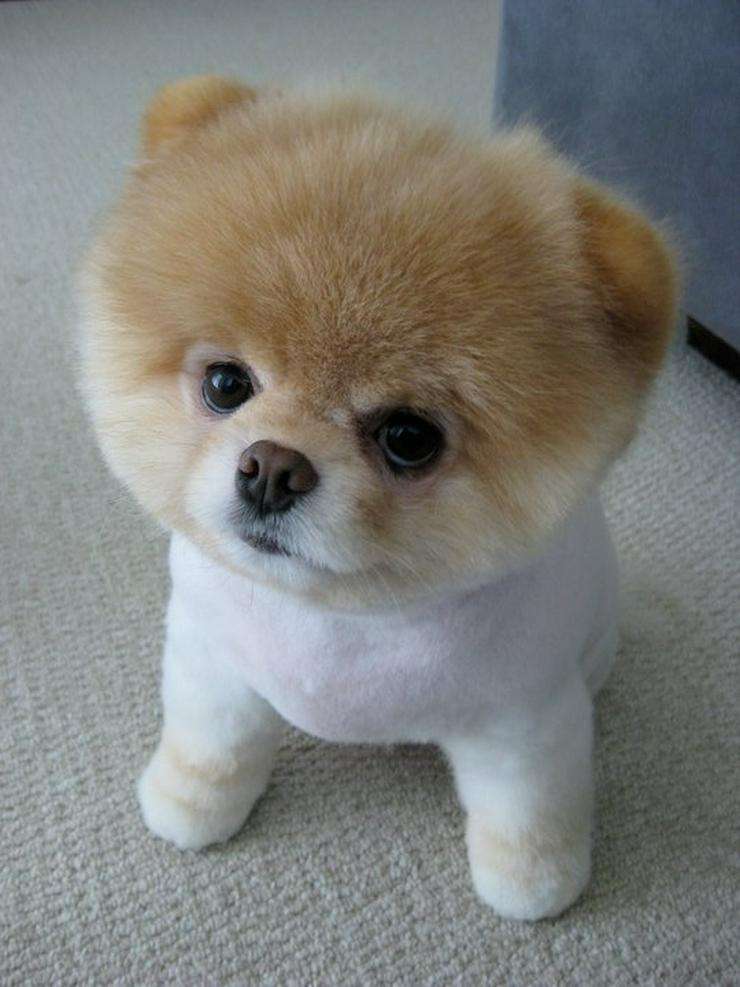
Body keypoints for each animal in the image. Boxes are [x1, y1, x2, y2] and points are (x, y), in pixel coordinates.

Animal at [79, 75, 676, 920]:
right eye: (226, 384)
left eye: (408, 437)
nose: (271, 467)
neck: (336, 619)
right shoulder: (211, 662)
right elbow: (213, 747)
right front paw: (189, 804)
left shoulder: (525, 723)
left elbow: (529, 812)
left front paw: (536, 885)